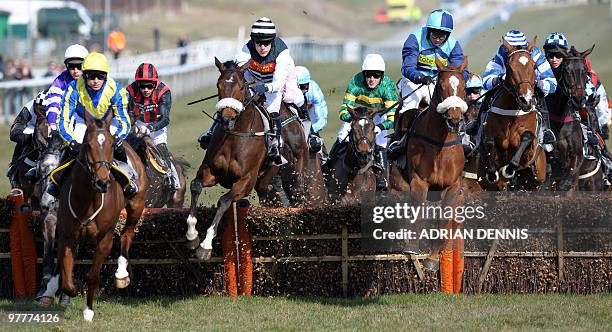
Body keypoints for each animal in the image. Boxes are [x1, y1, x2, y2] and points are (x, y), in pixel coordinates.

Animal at [51, 113, 146, 320]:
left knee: (127, 233)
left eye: (111, 144)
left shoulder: (105, 239)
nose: (103, 182)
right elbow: (67, 279)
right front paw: (70, 290)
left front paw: (88, 310)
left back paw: (121, 275)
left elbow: (93, 275)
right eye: (88, 144)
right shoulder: (68, 237)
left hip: (136, 205)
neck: (87, 200)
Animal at [184, 59, 274, 262]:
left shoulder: (246, 181)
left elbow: (224, 201)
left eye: (241, 86)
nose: (227, 119)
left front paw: (206, 245)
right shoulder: (211, 172)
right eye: (219, 85)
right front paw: (192, 236)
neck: (234, 137)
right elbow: (195, 185)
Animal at [388, 56, 468, 282]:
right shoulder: (419, 182)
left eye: (464, 87)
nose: (454, 120)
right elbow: (418, 212)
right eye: (440, 86)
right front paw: (412, 246)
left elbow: (443, 219)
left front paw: (432, 260)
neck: (440, 145)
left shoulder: (452, 186)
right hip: (396, 186)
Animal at [480, 36, 548, 191]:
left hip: (537, 180)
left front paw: (508, 169)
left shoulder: (530, 149)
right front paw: (493, 173)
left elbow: (527, 137)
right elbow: (488, 141)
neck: (512, 113)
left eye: (533, 65)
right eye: (510, 67)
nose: (526, 99)